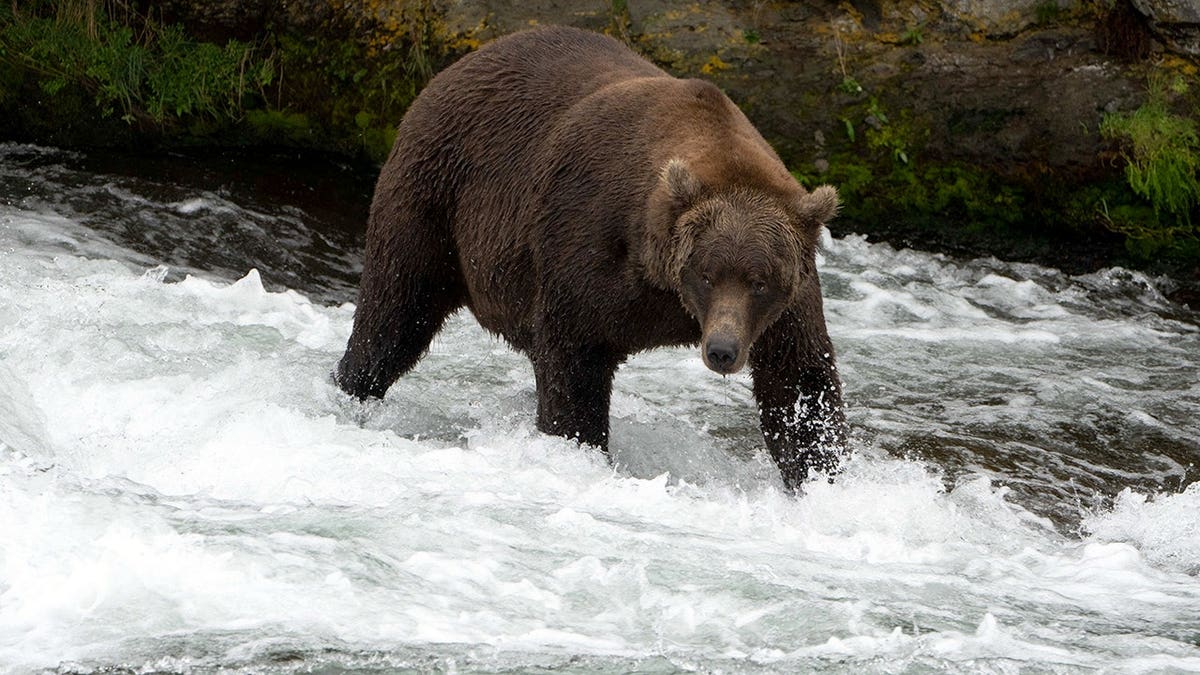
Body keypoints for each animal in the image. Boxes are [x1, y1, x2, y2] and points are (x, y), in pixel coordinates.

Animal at [335, 25, 847, 489]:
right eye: (706, 273)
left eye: (759, 281)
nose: (722, 350)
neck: (662, 285)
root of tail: (458, 65)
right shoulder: (586, 244)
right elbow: (574, 361)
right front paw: (579, 446)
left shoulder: (787, 304)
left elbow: (798, 384)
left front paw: (822, 478)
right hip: (435, 196)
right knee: (396, 311)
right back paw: (352, 386)